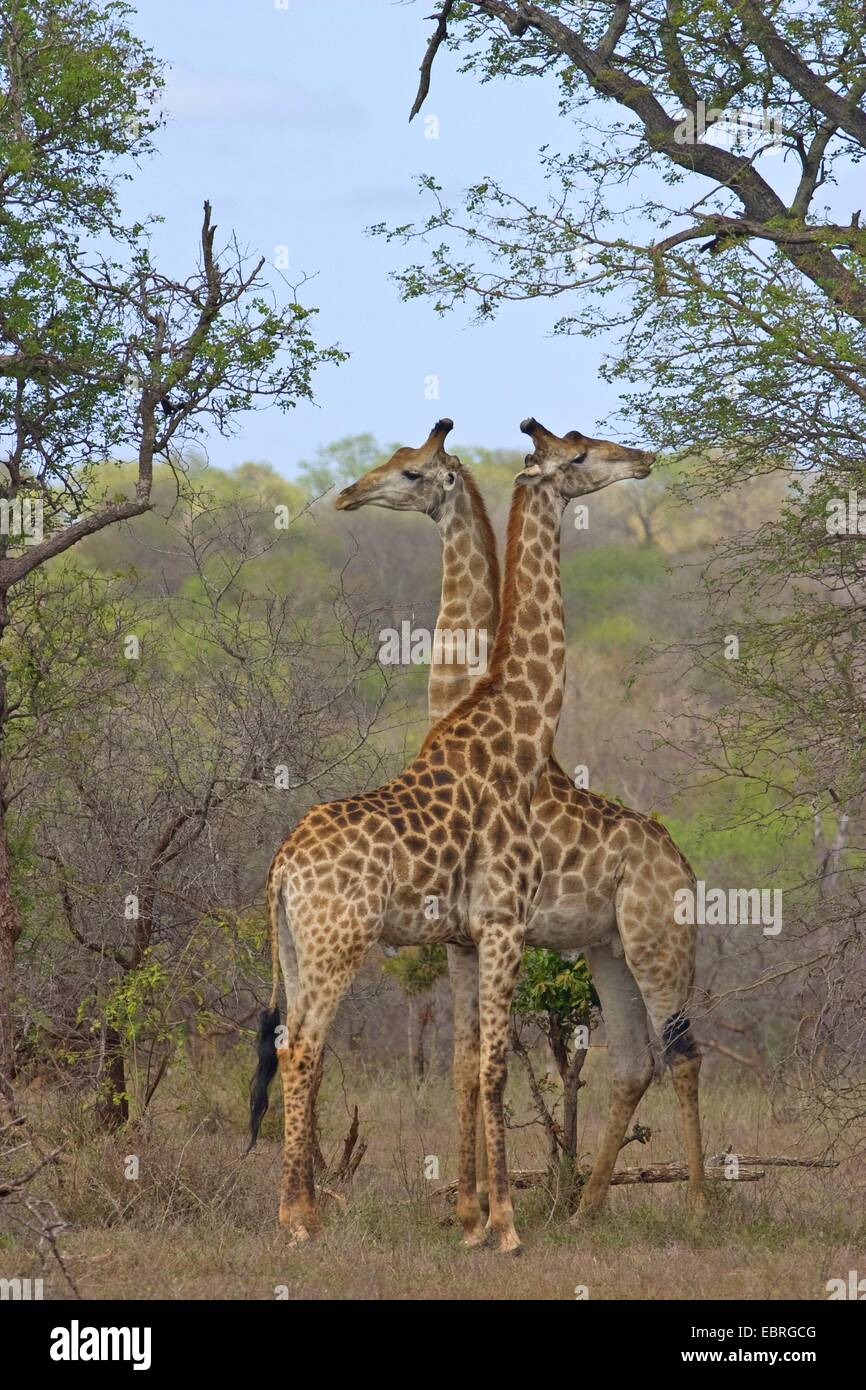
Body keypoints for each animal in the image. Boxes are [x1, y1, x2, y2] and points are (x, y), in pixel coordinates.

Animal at [248, 411, 650, 1251]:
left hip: (296, 947)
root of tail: (281, 867)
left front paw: (473, 1219)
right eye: (581, 453)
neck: (519, 732)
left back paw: (296, 1210)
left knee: (290, 1042)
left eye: (410, 468)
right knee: (305, 1049)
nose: (644, 458)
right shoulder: (501, 921)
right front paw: (501, 1226)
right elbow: (492, 1064)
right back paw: (301, 1219)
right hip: (339, 943)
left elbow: (469, 1063)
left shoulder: (468, 934)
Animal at [335, 417, 708, 1223]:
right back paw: (585, 1206)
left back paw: (700, 1205)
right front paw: (467, 1202)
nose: (347, 493)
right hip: (608, 949)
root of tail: (684, 865)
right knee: (634, 1061)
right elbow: (465, 1062)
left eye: (411, 470)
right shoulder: (462, 937)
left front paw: (477, 1203)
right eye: (580, 451)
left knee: (683, 1052)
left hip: (659, 944)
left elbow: (483, 1060)